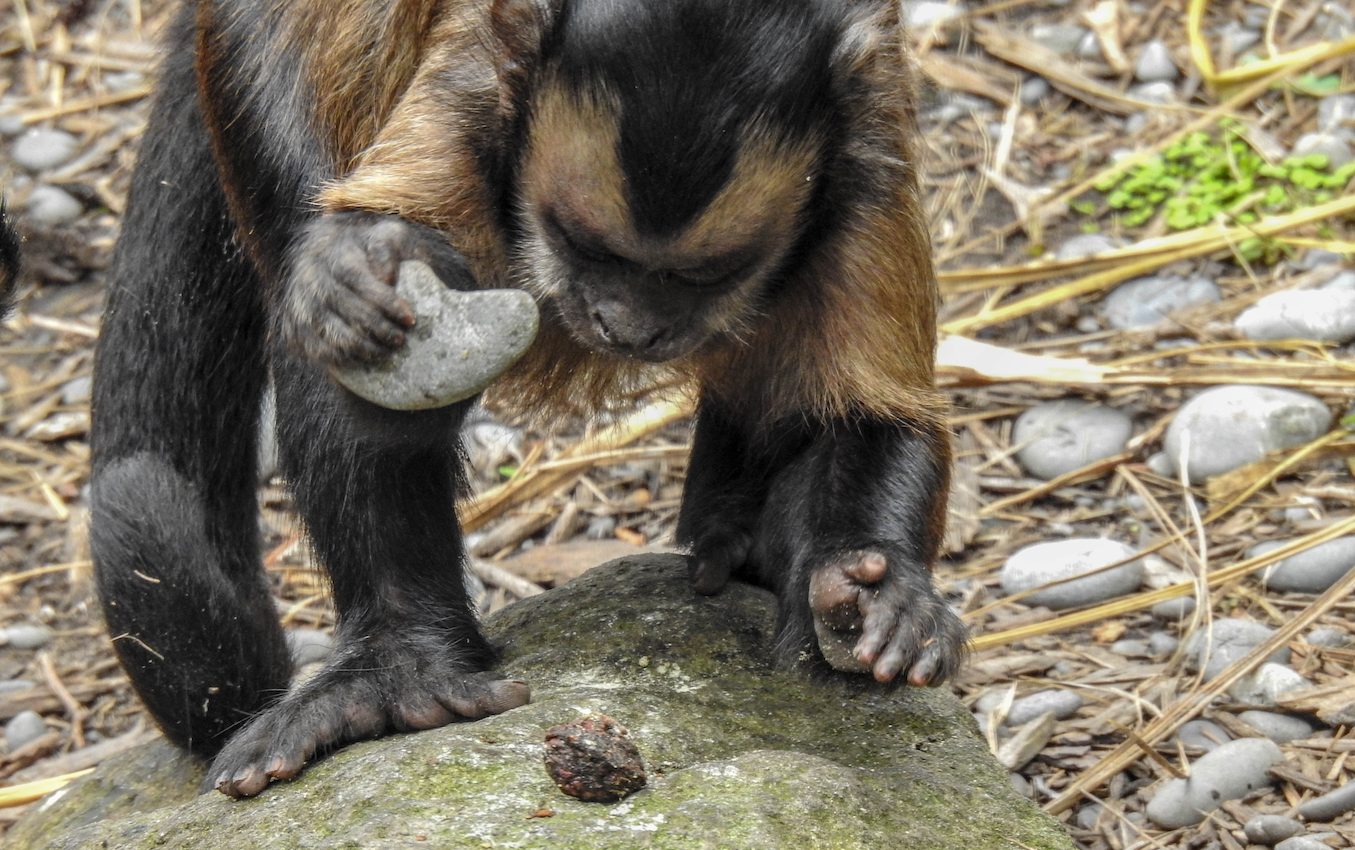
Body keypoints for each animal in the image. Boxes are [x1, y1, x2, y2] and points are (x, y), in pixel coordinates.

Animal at [89, 0, 967, 799]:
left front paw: (871, 591)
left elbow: (858, 417)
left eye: (708, 272)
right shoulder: (475, 90)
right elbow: (372, 322)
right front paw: (349, 263)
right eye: (584, 243)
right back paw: (396, 671)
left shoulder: (865, 154)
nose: (626, 326)